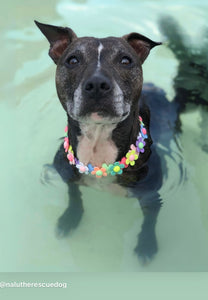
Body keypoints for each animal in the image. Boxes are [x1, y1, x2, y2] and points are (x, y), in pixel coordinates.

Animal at [35, 19, 166, 262]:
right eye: (73, 60)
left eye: (125, 60)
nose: (97, 83)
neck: (97, 143)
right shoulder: (69, 175)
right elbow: (74, 196)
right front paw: (70, 218)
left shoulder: (151, 197)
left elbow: (150, 222)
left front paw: (146, 244)